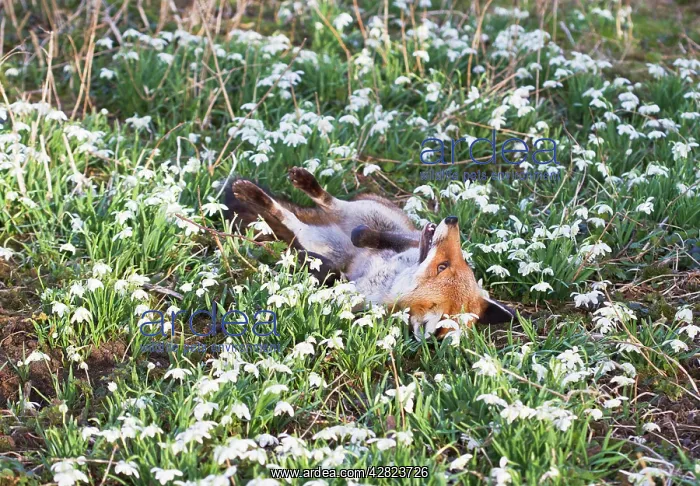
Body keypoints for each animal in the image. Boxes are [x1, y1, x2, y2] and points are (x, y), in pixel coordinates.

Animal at [223, 167, 515, 339]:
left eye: (441, 266)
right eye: (450, 265)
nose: (452, 220)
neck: (389, 280)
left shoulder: (351, 295)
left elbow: (330, 275)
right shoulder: (405, 244)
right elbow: (377, 237)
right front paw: (366, 237)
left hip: (318, 239)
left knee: (292, 221)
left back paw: (255, 197)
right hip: (364, 212)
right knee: (328, 204)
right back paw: (302, 183)